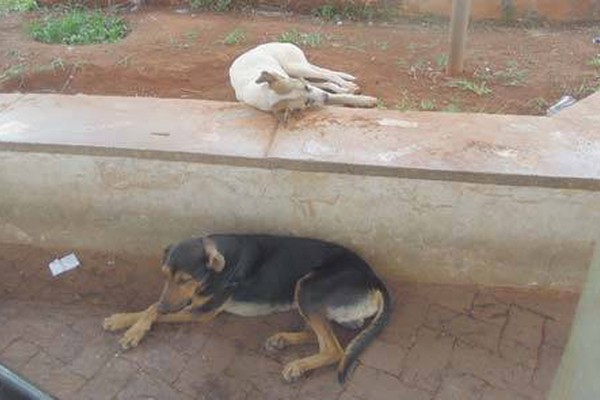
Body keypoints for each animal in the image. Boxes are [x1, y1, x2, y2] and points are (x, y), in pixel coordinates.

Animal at [104, 234, 390, 384]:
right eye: (164, 275)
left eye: (184, 280)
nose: (167, 305)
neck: (217, 263)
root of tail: (375, 280)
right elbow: (152, 307)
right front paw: (121, 320)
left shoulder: (203, 312)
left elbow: (154, 310)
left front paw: (133, 332)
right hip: (306, 298)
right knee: (319, 334)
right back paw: (282, 340)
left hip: (307, 287)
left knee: (333, 349)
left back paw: (297, 365)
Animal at [227, 41, 378, 123]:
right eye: (306, 103)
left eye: (305, 88)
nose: (326, 97)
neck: (261, 91)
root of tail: (283, 43)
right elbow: (335, 97)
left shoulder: (310, 87)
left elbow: (341, 96)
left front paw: (365, 100)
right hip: (297, 72)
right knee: (325, 82)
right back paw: (344, 88)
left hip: (295, 67)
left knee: (326, 74)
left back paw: (347, 85)